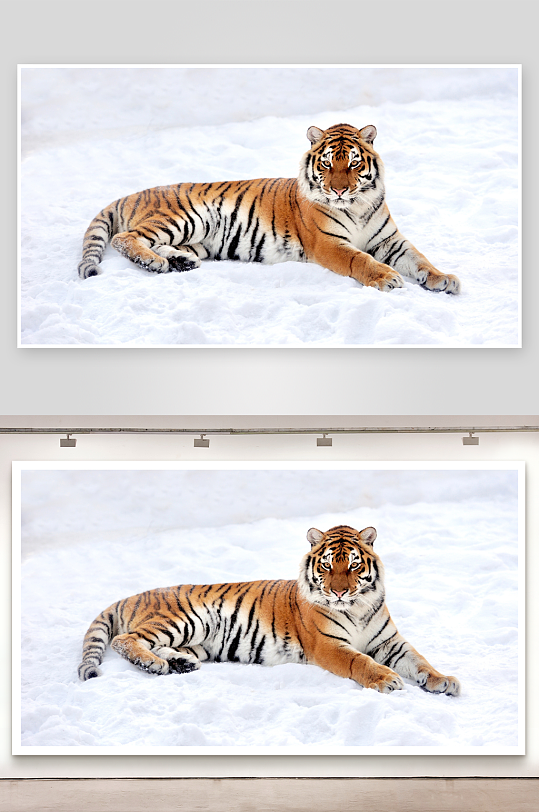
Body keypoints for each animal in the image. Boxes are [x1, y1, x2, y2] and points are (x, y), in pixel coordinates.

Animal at [77, 123, 460, 294]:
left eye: (352, 164)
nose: (338, 189)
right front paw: (387, 278)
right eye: (326, 164)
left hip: (195, 239)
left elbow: (420, 259)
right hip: (185, 217)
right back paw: (155, 263)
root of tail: (134, 193)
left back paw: (179, 262)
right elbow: (360, 260)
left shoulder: (390, 240)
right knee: (126, 238)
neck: (358, 205)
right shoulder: (328, 243)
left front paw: (444, 279)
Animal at [78, 524, 460, 696]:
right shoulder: (328, 645)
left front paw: (443, 681)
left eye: (352, 565)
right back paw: (154, 664)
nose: (338, 591)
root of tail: (134, 595)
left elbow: (419, 661)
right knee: (126, 640)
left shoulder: (390, 642)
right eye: (326, 566)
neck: (358, 606)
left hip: (195, 640)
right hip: (185, 618)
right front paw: (387, 680)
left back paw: (178, 664)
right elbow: (360, 661)